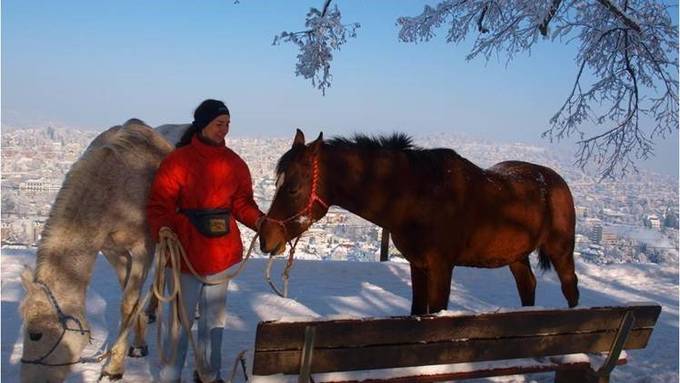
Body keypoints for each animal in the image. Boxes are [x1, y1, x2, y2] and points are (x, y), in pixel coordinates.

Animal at [19, 119, 181, 380]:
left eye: (36, 334)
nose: (27, 380)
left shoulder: (142, 248)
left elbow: (128, 302)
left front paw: (114, 367)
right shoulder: (113, 251)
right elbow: (129, 296)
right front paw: (136, 345)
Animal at [260, 129, 580, 316]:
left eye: (293, 189)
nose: (266, 237)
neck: (418, 194)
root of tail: (556, 179)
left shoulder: (441, 267)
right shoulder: (418, 264)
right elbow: (417, 311)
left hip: (561, 249)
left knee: (570, 288)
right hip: (516, 255)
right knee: (527, 286)